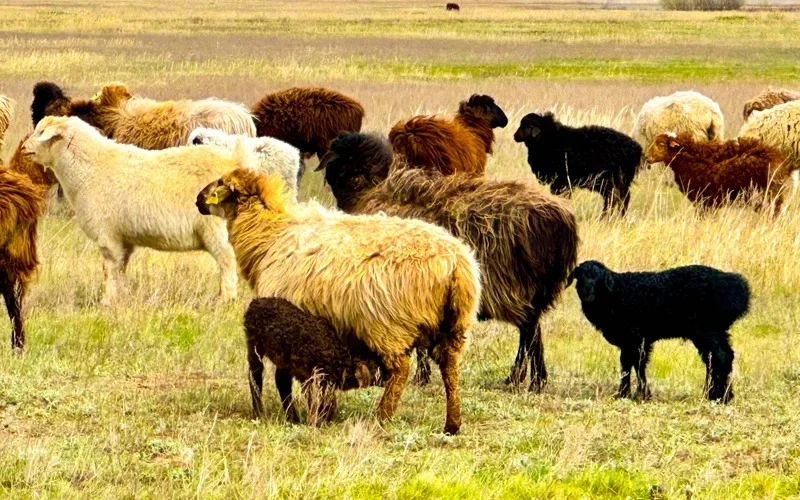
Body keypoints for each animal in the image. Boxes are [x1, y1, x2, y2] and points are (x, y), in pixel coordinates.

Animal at [22, 116, 250, 305]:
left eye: (41, 131)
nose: (24, 148)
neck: (89, 170)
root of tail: (236, 161)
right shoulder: (124, 239)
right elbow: (121, 268)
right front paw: (121, 298)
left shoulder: (107, 235)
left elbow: (110, 269)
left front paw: (107, 302)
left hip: (217, 229)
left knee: (227, 262)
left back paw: (225, 299)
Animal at [244, 297, 383, 425]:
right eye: (375, 368)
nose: (387, 376)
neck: (339, 360)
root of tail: (255, 302)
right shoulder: (310, 377)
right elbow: (318, 400)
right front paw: (318, 421)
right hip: (254, 343)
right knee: (255, 374)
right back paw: (259, 414)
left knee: (281, 381)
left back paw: (292, 418)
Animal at [318, 132, 579, 391]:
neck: (370, 192)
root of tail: (562, 221)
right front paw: (420, 376)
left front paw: (412, 376)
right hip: (535, 291)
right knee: (533, 331)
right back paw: (531, 379)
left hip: (516, 289)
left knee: (529, 331)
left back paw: (524, 379)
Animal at [514, 112, 642, 216]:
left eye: (524, 126)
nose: (514, 136)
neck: (549, 138)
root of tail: (636, 149)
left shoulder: (561, 182)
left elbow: (562, 196)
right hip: (622, 182)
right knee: (624, 198)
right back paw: (621, 217)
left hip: (608, 181)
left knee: (612, 199)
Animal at [571, 260, 749, 403]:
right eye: (579, 277)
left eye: (598, 277)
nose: (587, 292)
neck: (614, 294)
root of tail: (738, 289)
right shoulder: (631, 341)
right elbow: (629, 365)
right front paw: (630, 394)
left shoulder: (635, 337)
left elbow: (635, 365)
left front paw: (636, 394)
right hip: (714, 331)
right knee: (719, 358)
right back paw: (720, 394)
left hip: (707, 329)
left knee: (720, 357)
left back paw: (717, 396)